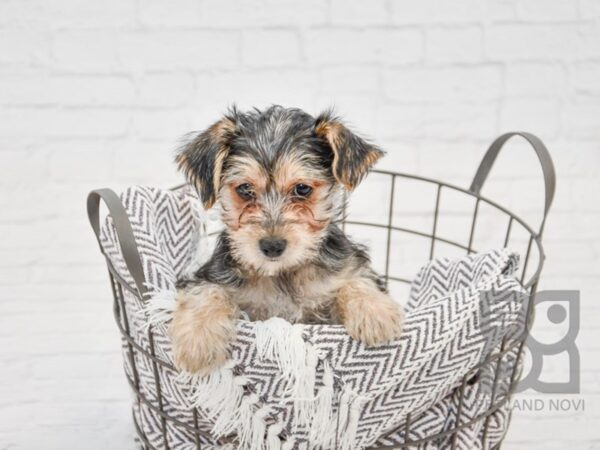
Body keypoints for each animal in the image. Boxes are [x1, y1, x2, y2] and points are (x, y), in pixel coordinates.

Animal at [173, 105, 408, 372]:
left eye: (302, 189)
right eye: (245, 189)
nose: (272, 246)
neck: (283, 274)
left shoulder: (345, 270)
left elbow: (356, 280)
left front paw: (374, 312)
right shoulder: (209, 275)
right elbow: (208, 291)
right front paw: (197, 339)